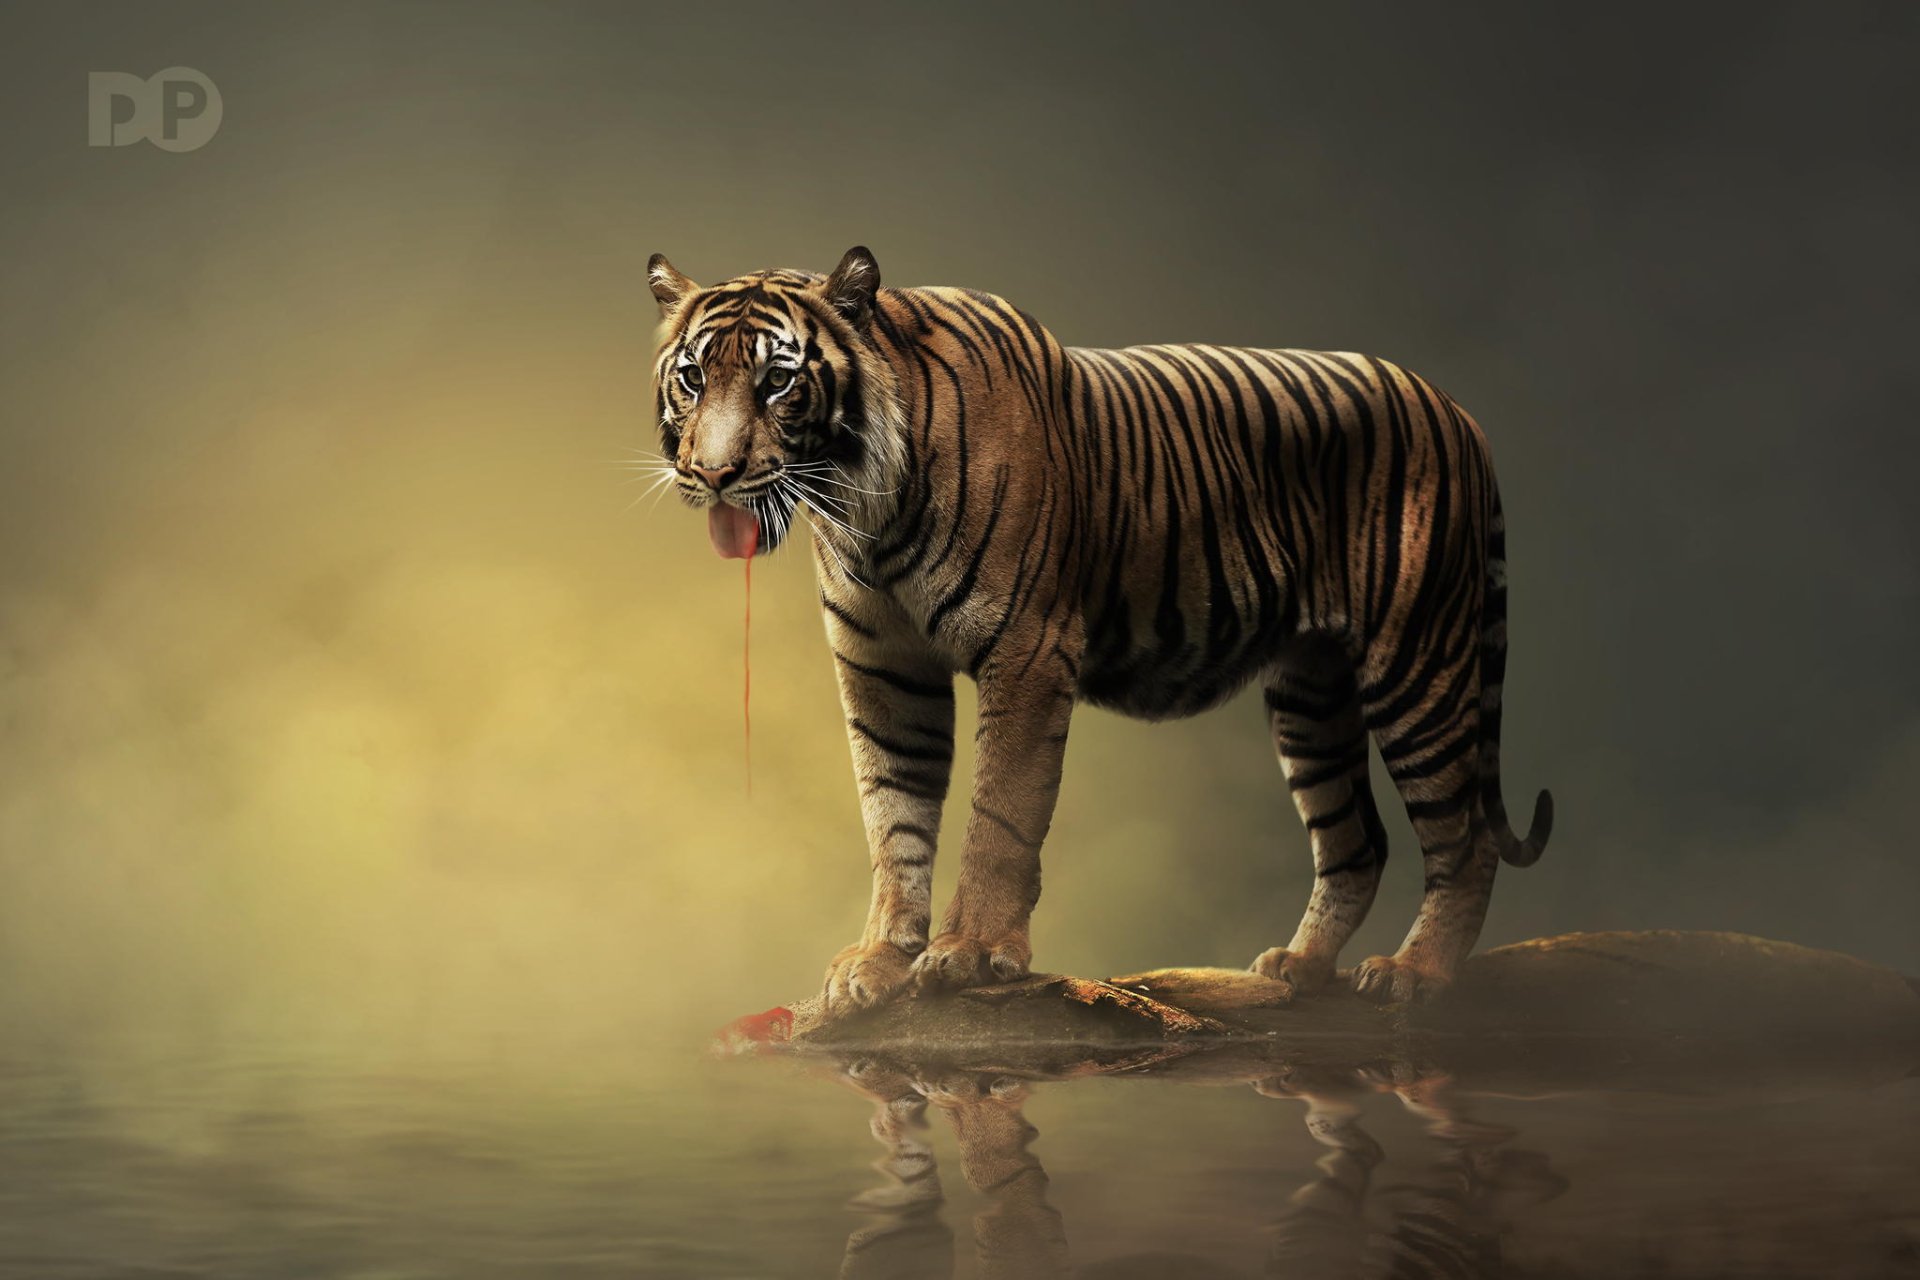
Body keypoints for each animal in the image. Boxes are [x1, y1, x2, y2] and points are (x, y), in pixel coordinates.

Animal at [646, 245, 1552, 1013]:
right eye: (692, 378)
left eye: (777, 382)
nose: (713, 474)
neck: (860, 505)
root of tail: (1456, 410)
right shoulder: (884, 669)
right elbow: (894, 818)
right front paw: (879, 960)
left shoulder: (1026, 651)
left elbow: (999, 815)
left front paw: (969, 954)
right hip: (1312, 692)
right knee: (1356, 840)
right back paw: (1298, 967)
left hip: (1418, 665)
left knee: (1464, 837)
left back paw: (1417, 975)